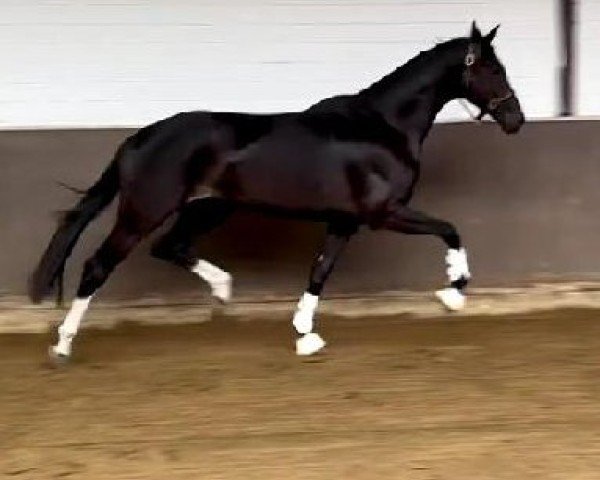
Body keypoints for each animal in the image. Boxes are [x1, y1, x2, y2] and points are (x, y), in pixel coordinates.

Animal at [29, 23, 524, 360]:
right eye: (492, 68)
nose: (516, 119)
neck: (382, 126)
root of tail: (138, 138)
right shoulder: (385, 212)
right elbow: (450, 229)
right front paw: (453, 293)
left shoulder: (344, 221)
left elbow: (320, 270)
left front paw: (306, 334)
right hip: (144, 211)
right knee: (98, 266)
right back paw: (63, 345)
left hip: (209, 208)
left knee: (170, 247)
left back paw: (223, 291)